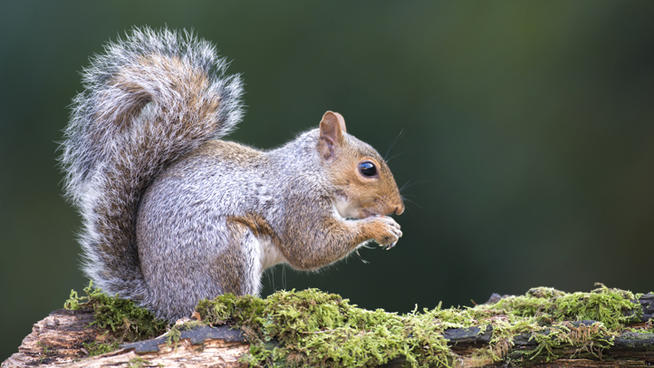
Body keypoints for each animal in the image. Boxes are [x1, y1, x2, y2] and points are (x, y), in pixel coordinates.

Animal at [62, 28, 404, 322]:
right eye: (368, 169)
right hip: (228, 248)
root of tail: (162, 301)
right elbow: (313, 247)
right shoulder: (298, 202)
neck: (311, 170)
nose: (398, 208)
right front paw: (380, 227)